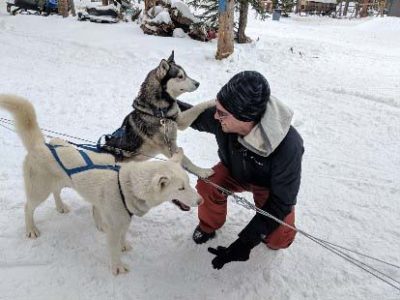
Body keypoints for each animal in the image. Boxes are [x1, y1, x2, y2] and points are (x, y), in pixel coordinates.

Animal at [0, 95, 202, 276]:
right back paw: (31, 229)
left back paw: (61, 207)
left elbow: (122, 236)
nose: (200, 201)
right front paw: (117, 267)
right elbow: (113, 249)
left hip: (59, 182)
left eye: (189, 183)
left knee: (56, 192)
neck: (125, 186)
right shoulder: (113, 226)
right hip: (38, 192)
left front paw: (123, 245)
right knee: (28, 208)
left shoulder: (124, 220)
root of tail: (40, 145)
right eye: (181, 188)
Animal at [103, 51, 216, 180]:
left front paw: (215, 101)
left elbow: (198, 106)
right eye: (180, 76)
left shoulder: (180, 121)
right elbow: (186, 160)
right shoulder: (167, 147)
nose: (198, 83)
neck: (160, 113)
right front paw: (203, 172)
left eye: (186, 74)